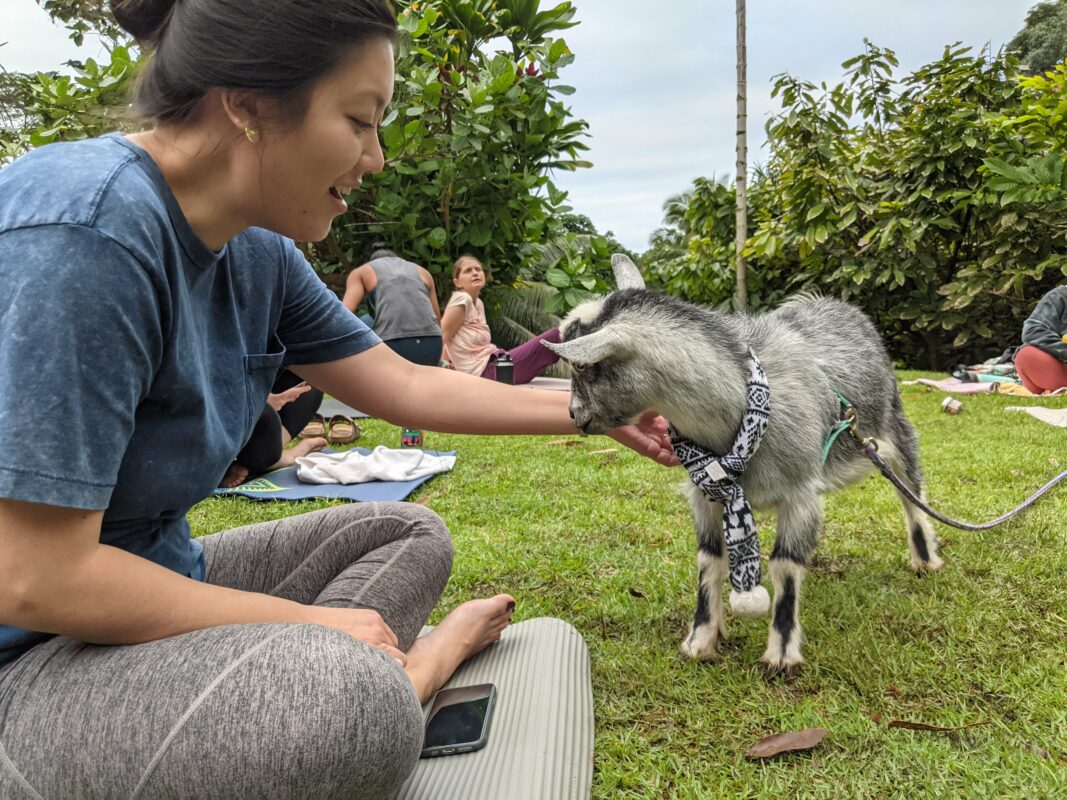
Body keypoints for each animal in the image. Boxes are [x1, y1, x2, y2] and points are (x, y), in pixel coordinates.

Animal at [546, 257, 938, 678]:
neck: (739, 420)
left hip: (892, 428)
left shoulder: (801, 495)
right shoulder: (705, 495)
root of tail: (835, 304)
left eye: (583, 367)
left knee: (910, 491)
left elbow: (785, 567)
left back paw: (925, 560)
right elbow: (709, 562)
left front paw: (782, 653)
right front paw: (700, 641)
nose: (574, 416)